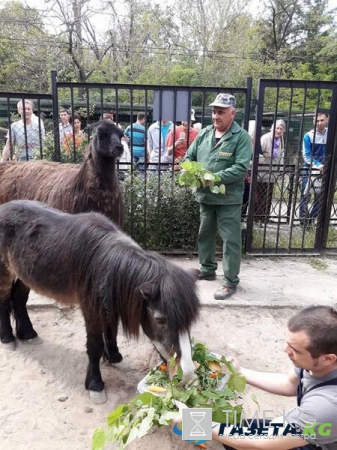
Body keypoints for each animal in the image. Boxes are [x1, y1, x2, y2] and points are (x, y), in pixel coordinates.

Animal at [0, 200, 200, 404]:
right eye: (160, 320)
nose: (187, 374)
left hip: (24, 275)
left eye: (190, 320)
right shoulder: (91, 310)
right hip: (5, 272)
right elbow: (94, 346)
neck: (102, 262)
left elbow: (111, 330)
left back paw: (28, 334)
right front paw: (95, 385)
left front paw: (113, 355)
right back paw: (8, 338)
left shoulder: (108, 304)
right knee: (4, 303)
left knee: (19, 299)